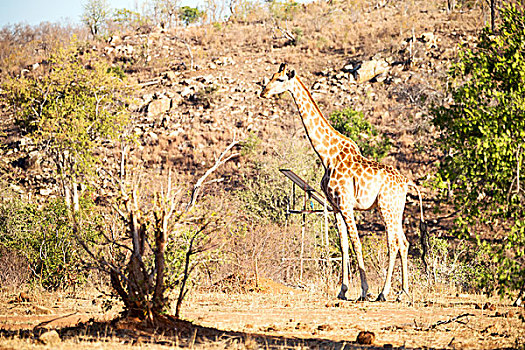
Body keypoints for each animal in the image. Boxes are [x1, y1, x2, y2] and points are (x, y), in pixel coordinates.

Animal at [260, 63, 428, 300]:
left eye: (281, 79)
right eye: (272, 76)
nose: (263, 92)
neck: (327, 155)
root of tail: (407, 183)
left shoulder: (347, 204)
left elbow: (356, 243)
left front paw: (364, 291)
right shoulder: (335, 207)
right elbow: (343, 246)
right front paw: (343, 290)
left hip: (386, 207)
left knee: (393, 243)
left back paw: (383, 293)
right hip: (396, 209)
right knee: (404, 242)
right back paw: (402, 292)